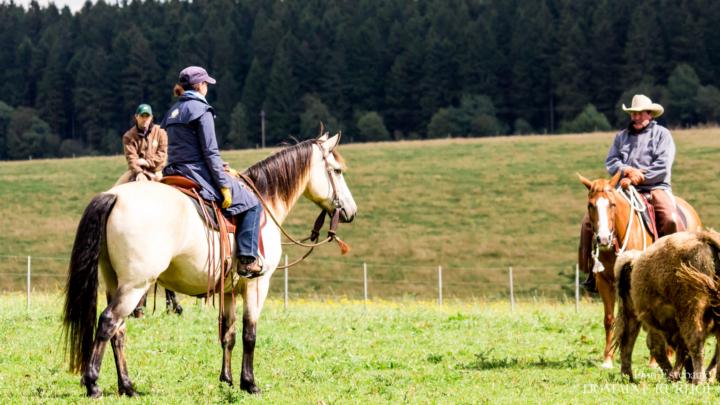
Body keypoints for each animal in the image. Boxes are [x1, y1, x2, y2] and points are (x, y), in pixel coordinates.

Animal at [62, 133, 357, 397]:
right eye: (337, 170)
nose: (351, 211)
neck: (265, 201)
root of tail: (115, 196)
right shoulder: (257, 284)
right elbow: (250, 334)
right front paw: (249, 383)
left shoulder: (228, 290)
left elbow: (228, 334)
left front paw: (226, 380)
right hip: (136, 285)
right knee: (108, 322)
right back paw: (93, 384)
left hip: (115, 282)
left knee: (118, 331)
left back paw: (127, 386)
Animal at [577, 172, 702, 368]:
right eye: (591, 205)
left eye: (612, 204)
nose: (603, 239)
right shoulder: (604, 281)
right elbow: (609, 319)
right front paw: (608, 359)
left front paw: (654, 362)